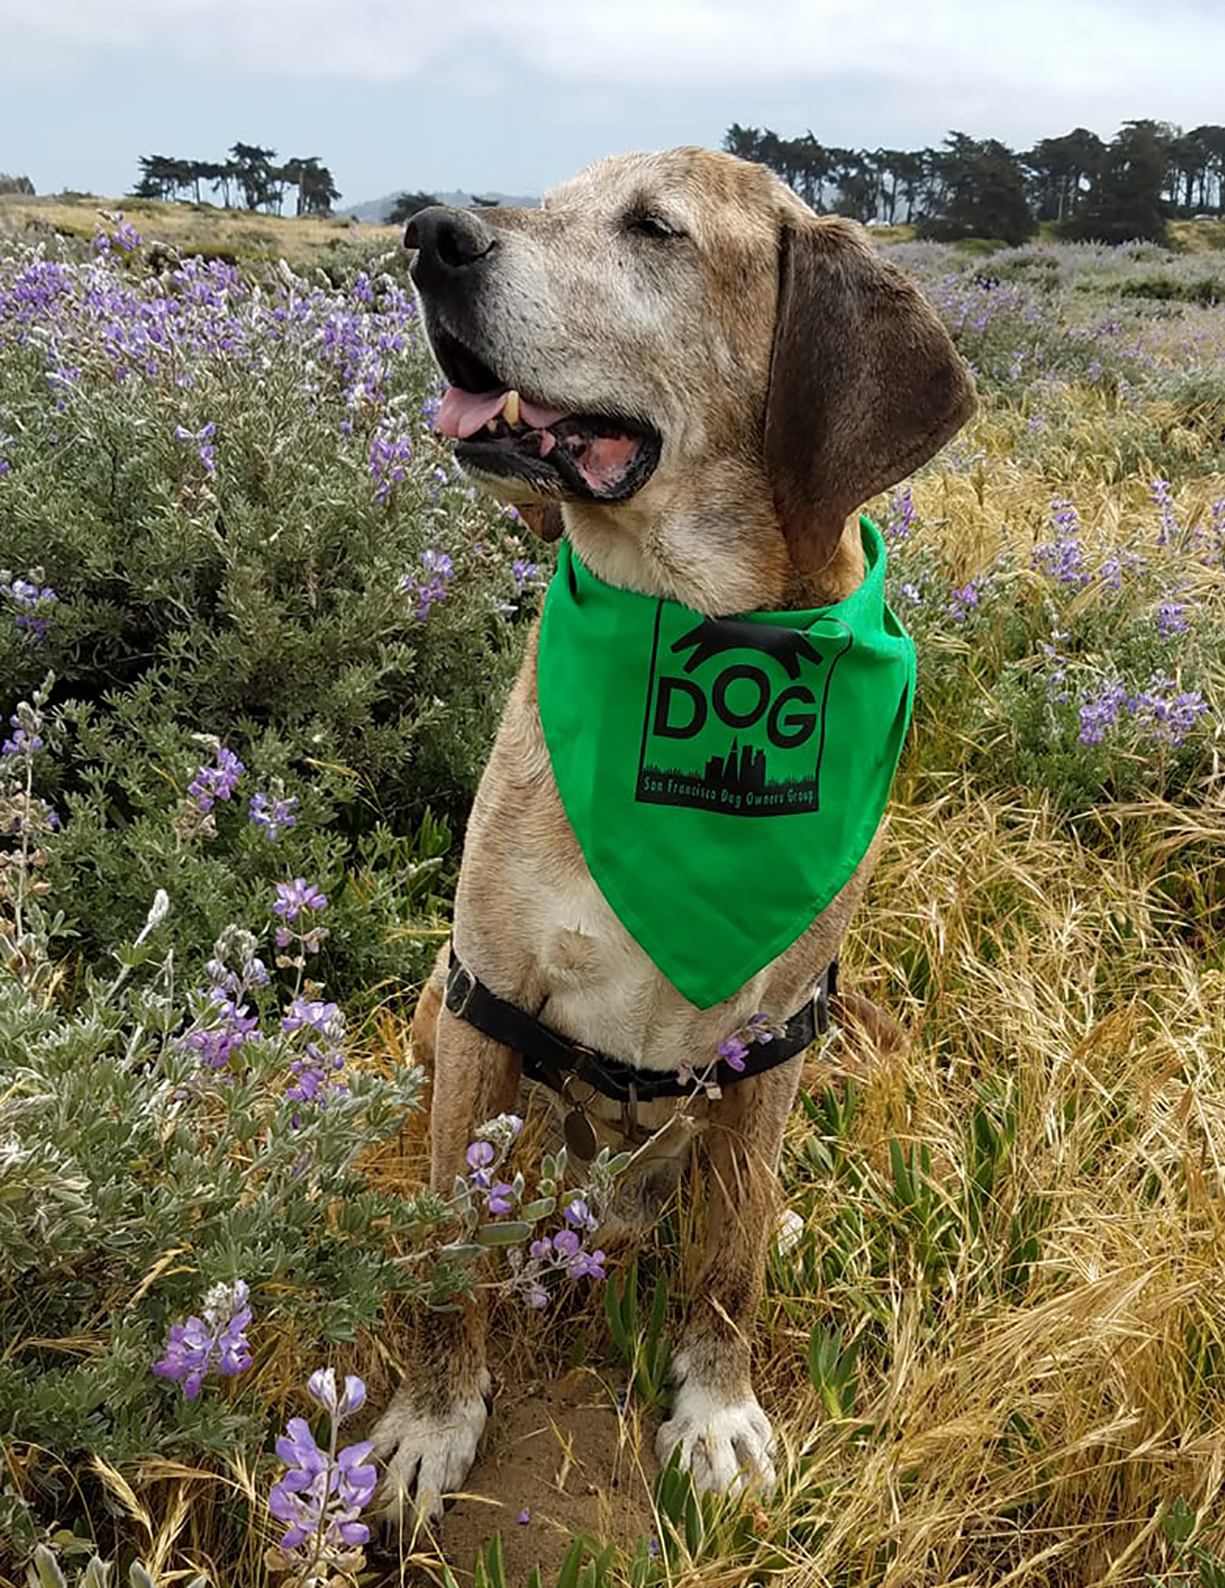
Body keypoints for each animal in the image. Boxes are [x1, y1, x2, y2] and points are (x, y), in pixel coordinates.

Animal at [371, 146, 978, 1524]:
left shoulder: (778, 1029)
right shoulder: (487, 993)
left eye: (655, 228)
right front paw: (432, 1418)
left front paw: (716, 1406)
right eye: (549, 199)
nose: (429, 234)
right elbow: (450, 1252)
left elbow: (731, 1263)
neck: (685, 625)